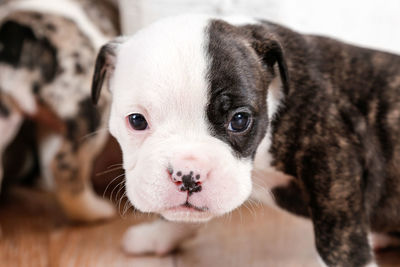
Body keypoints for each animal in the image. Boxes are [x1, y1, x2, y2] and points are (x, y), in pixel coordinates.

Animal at [91, 15, 400, 267]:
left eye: (239, 120)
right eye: (136, 121)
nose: (187, 175)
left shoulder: (332, 163)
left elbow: (339, 236)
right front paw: (158, 234)